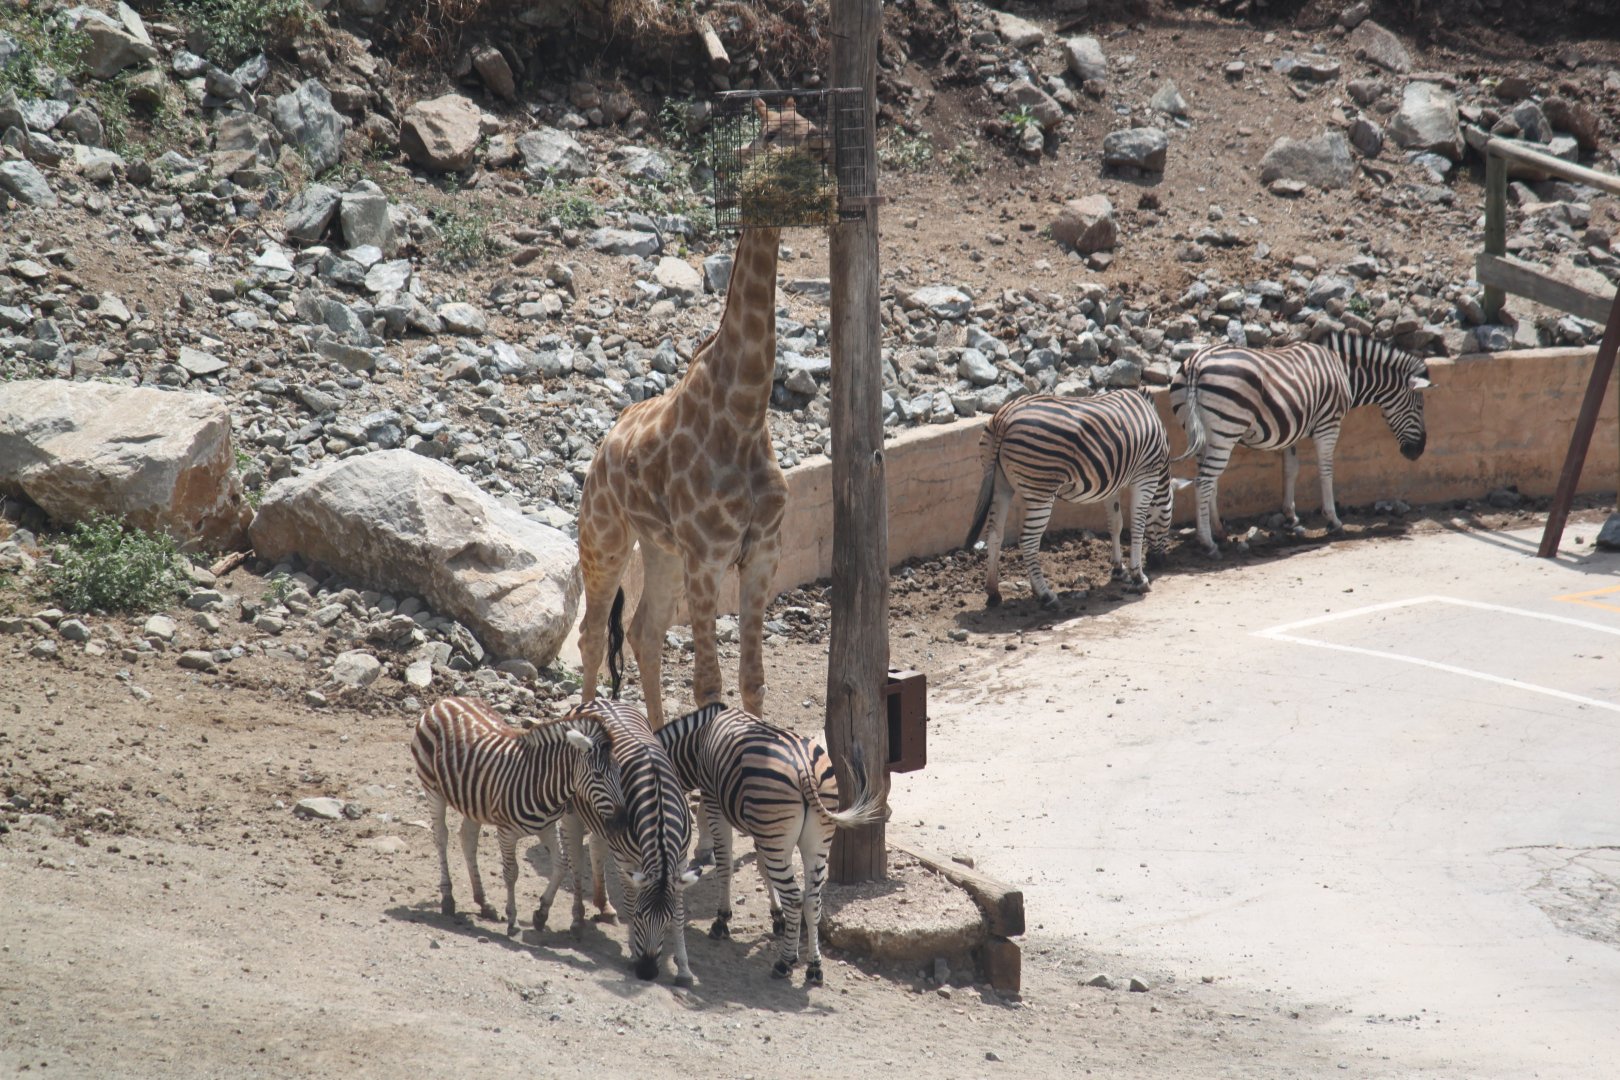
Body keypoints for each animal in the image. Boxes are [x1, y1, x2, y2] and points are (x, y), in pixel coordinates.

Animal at [409, 696, 624, 938]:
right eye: (597, 775)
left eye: (619, 772)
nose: (622, 821)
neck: (540, 783)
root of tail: (445, 701)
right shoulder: (506, 832)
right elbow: (511, 873)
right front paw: (513, 922)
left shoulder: (548, 827)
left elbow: (561, 865)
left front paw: (541, 913)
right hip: (432, 788)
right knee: (441, 837)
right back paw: (448, 898)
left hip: (473, 800)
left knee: (468, 839)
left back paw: (484, 903)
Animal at [575, 97, 826, 731]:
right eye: (770, 133)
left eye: (813, 125)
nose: (817, 151)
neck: (743, 412)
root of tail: (602, 446)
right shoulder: (711, 556)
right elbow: (710, 687)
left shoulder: (762, 552)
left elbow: (752, 682)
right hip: (605, 536)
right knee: (593, 632)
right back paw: (588, 728)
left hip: (662, 550)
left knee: (643, 632)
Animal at [654, 702, 887, 986]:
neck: (697, 741)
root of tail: (804, 770)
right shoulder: (760, 829)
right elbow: (763, 869)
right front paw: (778, 917)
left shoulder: (714, 803)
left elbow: (725, 865)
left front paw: (722, 920)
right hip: (813, 841)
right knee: (812, 899)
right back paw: (814, 967)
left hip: (776, 829)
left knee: (796, 898)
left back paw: (785, 962)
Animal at [964, 389, 1173, 608]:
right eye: (1169, 517)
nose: (1158, 562)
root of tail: (1004, 417)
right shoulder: (1146, 475)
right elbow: (1138, 524)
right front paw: (1138, 576)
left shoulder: (1112, 484)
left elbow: (1115, 524)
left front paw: (1118, 569)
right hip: (1041, 489)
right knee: (1028, 540)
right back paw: (1046, 595)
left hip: (1000, 484)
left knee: (994, 534)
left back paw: (993, 592)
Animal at [1170, 331, 1431, 558]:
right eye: (1419, 406)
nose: (1417, 452)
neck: (1345, 372)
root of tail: (1196, 364)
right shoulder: (1329, 424)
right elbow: (1326, 470)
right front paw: (1333, 520)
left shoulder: (1290, 430)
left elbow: (1290, 470)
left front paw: (1291, 517)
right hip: (1225, 431)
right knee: (1203, 482)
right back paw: (1208, 543)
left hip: (1204, 434)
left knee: (1209, 481)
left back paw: (1219, 531)